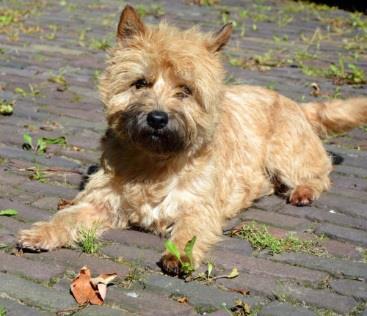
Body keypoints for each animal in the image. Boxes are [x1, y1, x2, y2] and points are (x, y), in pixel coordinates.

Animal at [18, 4, 367, 276]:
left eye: (185, 90)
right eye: (140, 83)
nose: (157, 118)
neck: (154, 163)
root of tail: (295, 102)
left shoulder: (198, 207)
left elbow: (190, 233)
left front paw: (179, 256)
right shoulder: (99, 201)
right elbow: (68, 216)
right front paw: (42, 231)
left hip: (287, 154)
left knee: (318, 174)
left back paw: (303, 191)